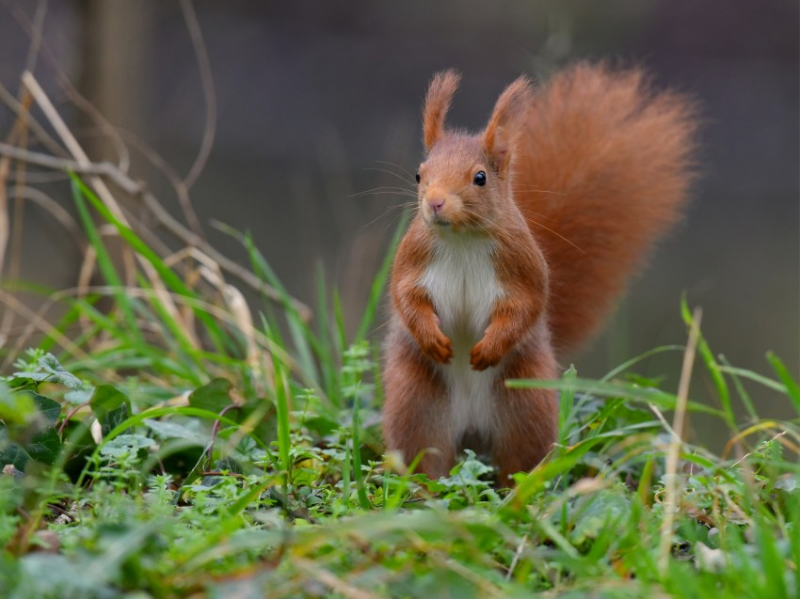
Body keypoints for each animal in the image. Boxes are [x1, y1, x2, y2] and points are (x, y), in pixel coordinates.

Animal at [382, 63, 692, 486]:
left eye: (480, 177)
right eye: (419, 174)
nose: (435, 203)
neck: (462, 239)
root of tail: (471, 431)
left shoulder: (522, 267)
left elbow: (526, 306)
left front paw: (488, 349)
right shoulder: (413, 259)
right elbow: (406, 297)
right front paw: (432, 339)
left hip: (525, 405)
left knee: (519, 461)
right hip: (416, 404)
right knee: (423, 456)